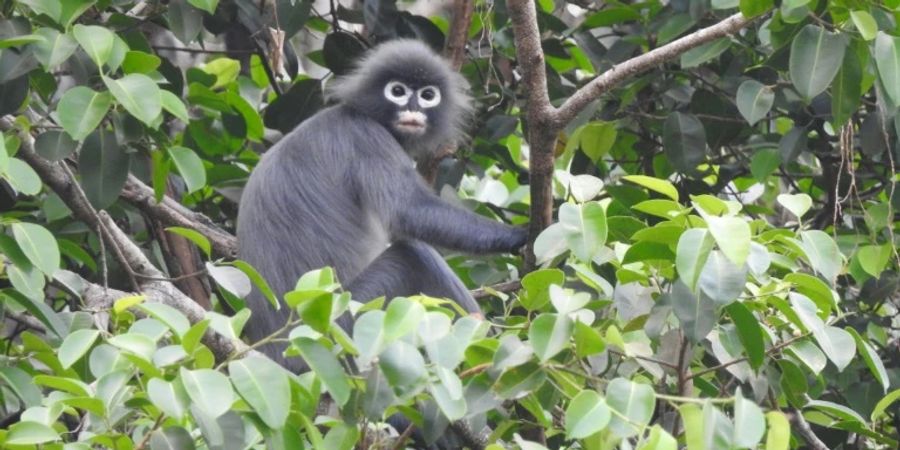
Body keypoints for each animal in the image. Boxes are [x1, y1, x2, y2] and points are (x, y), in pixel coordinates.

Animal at [236, 39, 528, 376]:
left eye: (427, 95)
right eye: (397, 91)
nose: (413, 109)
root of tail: (277, 352)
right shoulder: (366, 137)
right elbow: (410, 211)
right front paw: (524, 233)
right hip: (346, 325)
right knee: (415, 254)